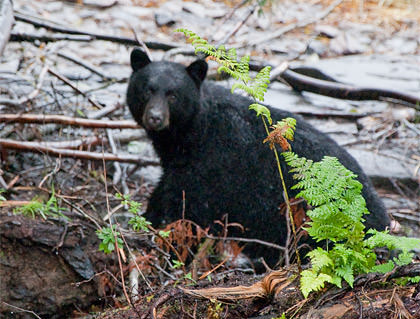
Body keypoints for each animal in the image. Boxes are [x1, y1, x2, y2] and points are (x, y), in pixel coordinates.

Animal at [127, 48, 390, 264]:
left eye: (173, 95)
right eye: (147, 90)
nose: (155, 118)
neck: (192, 133)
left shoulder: (211, 163)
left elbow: (189, 207)